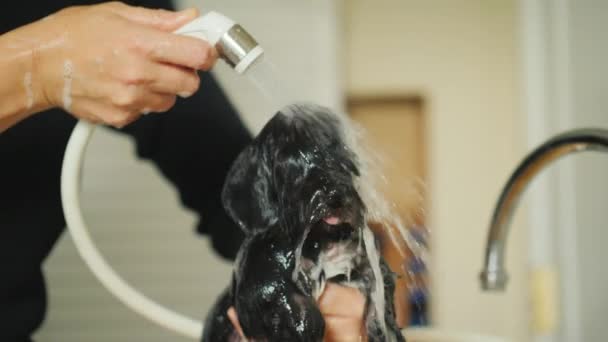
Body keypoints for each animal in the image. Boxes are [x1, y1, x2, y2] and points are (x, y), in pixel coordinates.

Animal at [202, 104, 406, 342]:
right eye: (288, 164)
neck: (321, 241)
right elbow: (283, 300)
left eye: (341, 154)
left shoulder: (363, 260)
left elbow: (382, 286)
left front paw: (385, 328)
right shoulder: (260, 271)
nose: (333, 195)